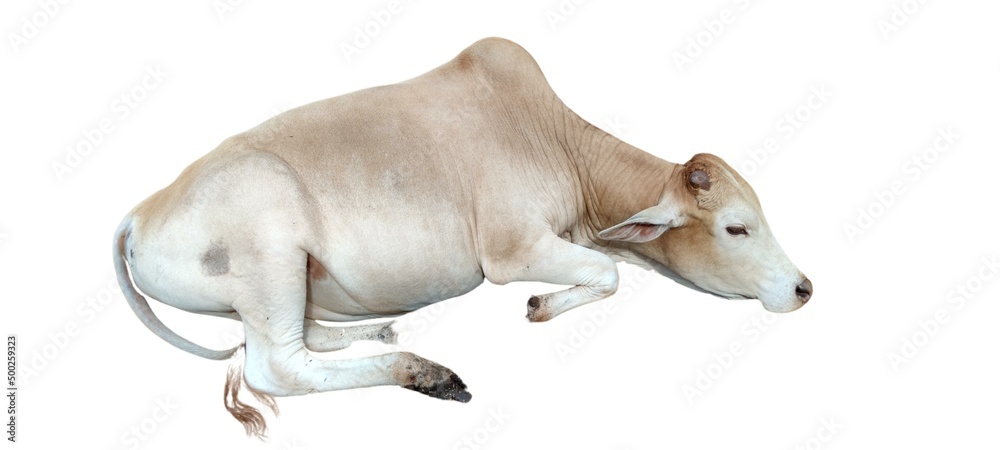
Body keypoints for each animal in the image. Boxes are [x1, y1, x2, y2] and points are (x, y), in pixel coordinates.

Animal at [112, 37, 811, 437]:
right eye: (736, 226)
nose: (804, 288)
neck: (556, 141)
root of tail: (139, 213)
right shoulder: (511, 250)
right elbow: (607, 275)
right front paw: (540, 304)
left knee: (298, 340)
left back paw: (376, 332)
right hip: (269, 254)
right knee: (276, 366)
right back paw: (425, 372)